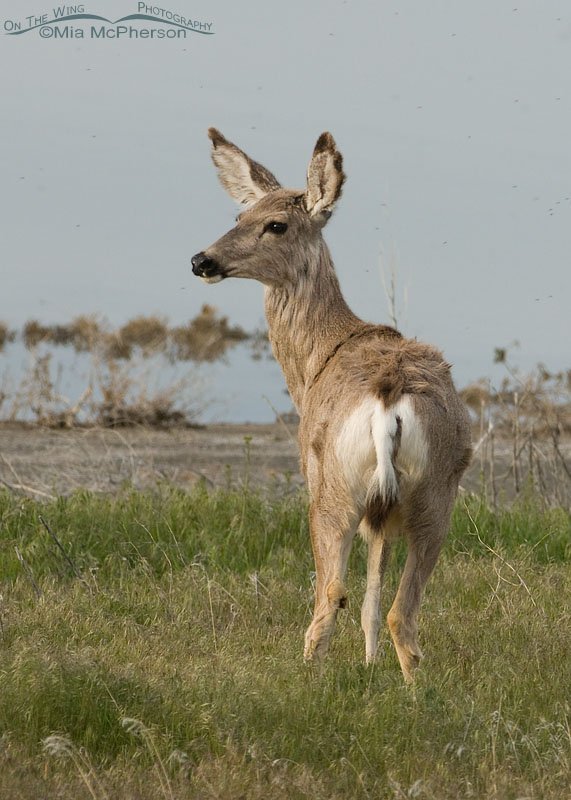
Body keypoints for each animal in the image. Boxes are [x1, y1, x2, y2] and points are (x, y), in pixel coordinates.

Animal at [191, 128, 472, 682]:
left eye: (276, 224)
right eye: (239, 215)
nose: (201, 260)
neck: (318, 358)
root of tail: (389, 397)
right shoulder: (382, 515)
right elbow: (371, 599)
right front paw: (368, 665)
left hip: (333, 491)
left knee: (330, 598)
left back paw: (307, 677)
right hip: (433, 494)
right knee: (397, 612)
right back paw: (411, 687)